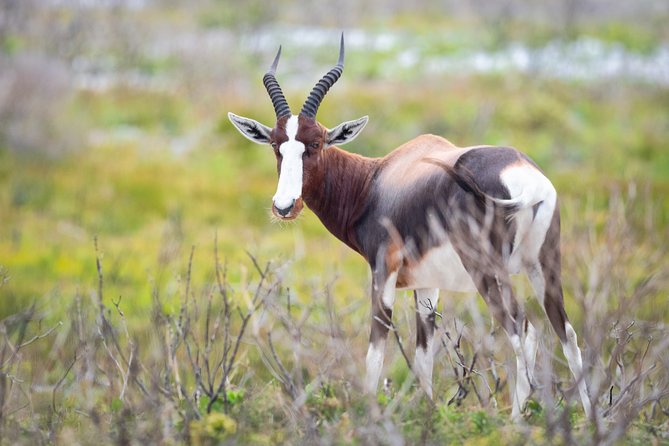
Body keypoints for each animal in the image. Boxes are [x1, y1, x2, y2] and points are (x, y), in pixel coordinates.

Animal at [228, 34, 588, 418]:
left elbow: (375, 349)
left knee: (524, 329)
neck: (375, 181)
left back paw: (515, 420)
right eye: (275, 144)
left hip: (489, 271)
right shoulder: (427, 286)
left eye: (315, 143)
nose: (284, 206)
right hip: (544, 266)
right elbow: (423, 357)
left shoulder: (383, 270)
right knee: (567, 335)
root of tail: (524, 177)